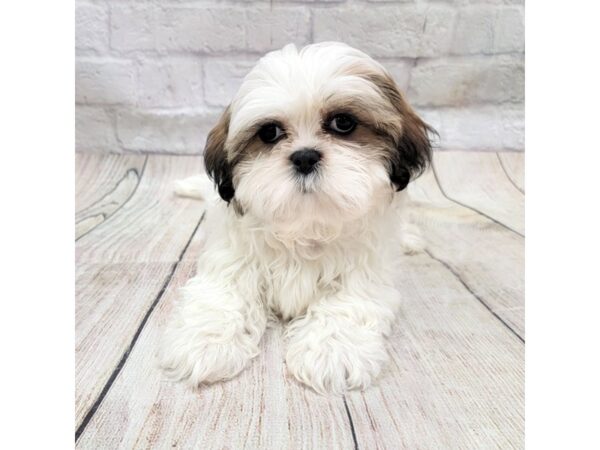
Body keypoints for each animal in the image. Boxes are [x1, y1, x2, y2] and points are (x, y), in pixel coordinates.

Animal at [159, 42, 432, 394]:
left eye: (343, 123)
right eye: (269, 132)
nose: (304, 156)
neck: (306, 222)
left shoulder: (367, 270)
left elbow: (349, 302)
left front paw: (333, 350)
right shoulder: (232, 258)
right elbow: (224, 294)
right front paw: (205, 341)